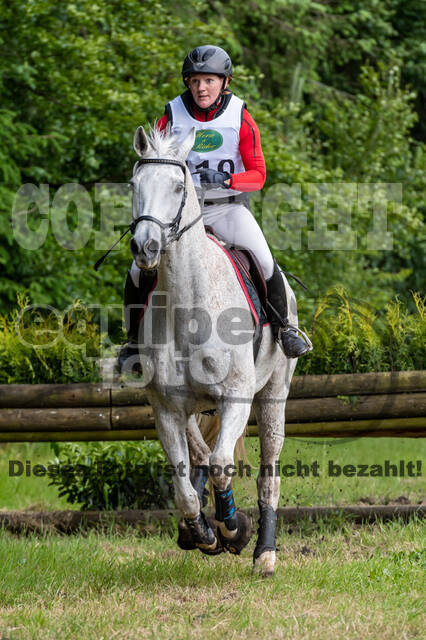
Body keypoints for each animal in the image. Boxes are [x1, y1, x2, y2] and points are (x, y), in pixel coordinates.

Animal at [128, 124, 298, 576]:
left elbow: (223, 463)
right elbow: (184, 487)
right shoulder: (167, 408)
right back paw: (198, 532)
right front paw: (204, 532)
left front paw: (233, 528)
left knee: (267, 474)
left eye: (177, 186)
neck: (188, 306)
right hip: (191, 408)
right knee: (200, 457)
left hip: (273, 396)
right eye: (134, 185)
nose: (145, 248)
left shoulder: (236, 397)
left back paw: (264, 554)